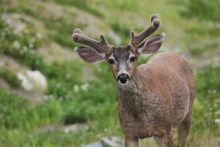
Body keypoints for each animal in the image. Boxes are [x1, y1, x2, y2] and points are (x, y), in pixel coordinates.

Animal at [72, 14, 196, 147]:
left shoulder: (166, 129)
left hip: (188, 111)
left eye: (133, 58)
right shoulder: (129, 133)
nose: (123, 77)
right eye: (110, 60)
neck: (140, 116)